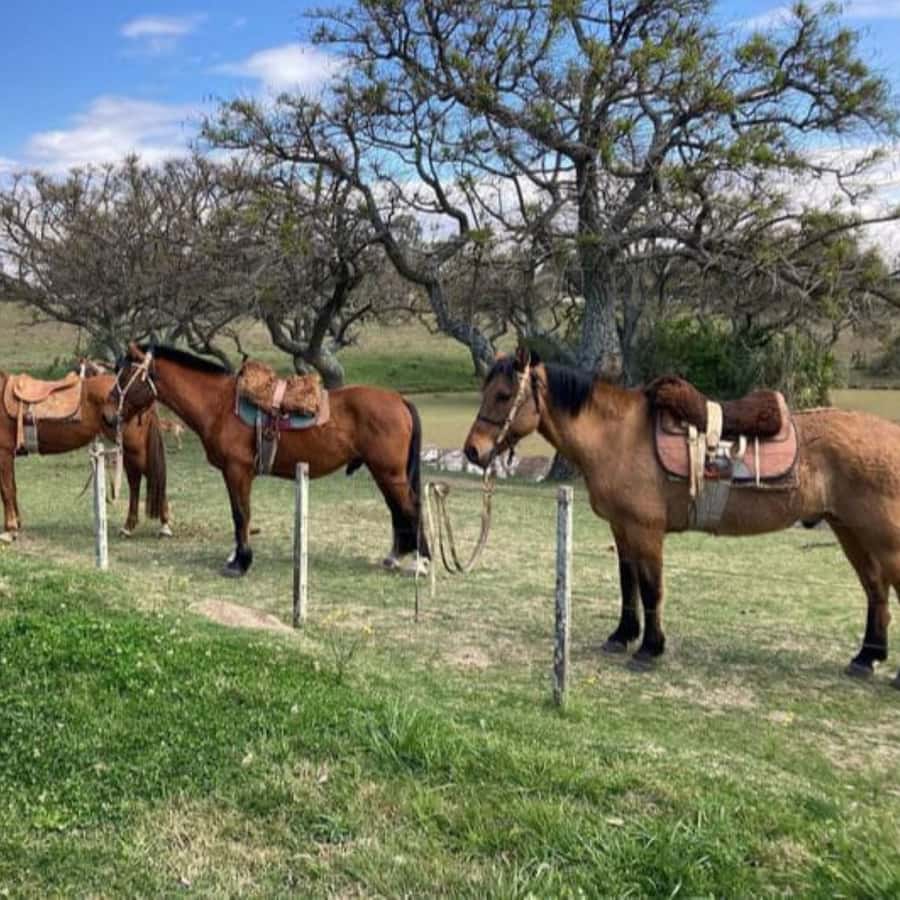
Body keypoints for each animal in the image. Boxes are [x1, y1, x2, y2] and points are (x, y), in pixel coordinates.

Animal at [0, 362, 170, 543]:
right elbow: (12, 488)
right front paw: (16, 525)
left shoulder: (3, 453)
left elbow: (6, 490)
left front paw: (10, 530)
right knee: (135, 481)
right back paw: (128, 527)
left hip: (135, 448)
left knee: (151, 476)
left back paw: (164, 526)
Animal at [104, 343, 429, 577]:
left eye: (124, 376)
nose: (108, 414)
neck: (220, 406)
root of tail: (399, 399)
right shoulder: (233, 474)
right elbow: (240, 515)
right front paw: (236, 556)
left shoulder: (238, 471)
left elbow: (241, 515)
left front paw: (241, 563)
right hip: (385, 473)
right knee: (397, 510)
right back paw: (395, 557)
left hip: (389, 473)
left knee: (411, 507)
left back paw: (422, 563)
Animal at [463, 348, 900, 688]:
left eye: (503, 395)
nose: (472, 451)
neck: (618, 437)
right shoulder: (622, 529)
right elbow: (628, 585)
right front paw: (622, 636)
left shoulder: (646, 532)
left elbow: (651, 590)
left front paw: (649, 648)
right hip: (851, 532)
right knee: (875, 590)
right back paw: (866, 658)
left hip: (881, 538)